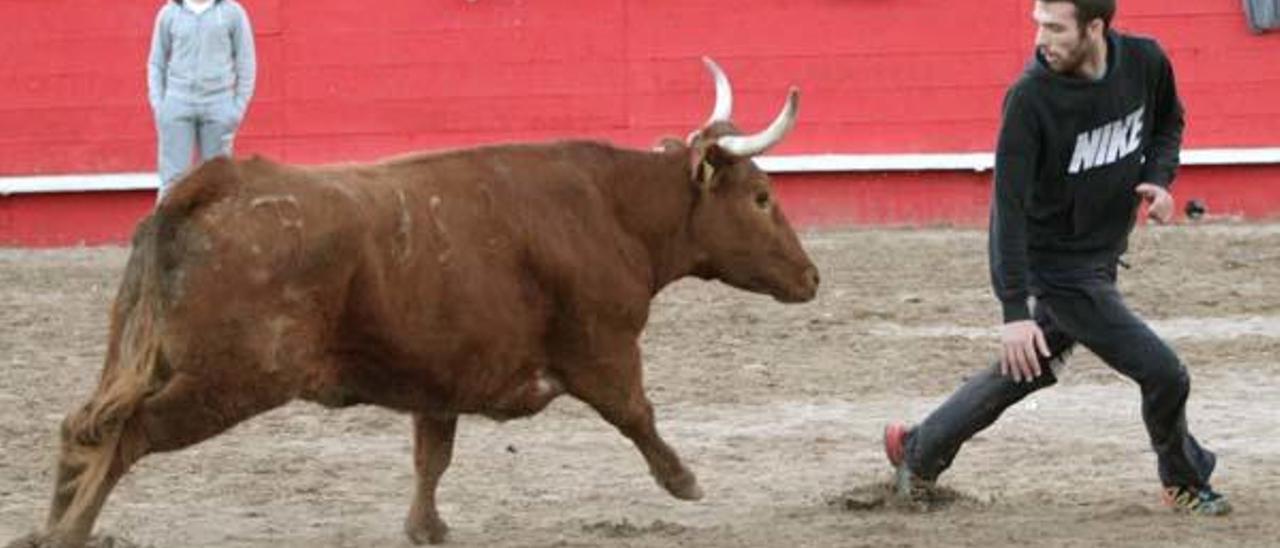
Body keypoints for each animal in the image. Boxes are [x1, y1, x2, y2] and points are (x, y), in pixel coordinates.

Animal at [17, 58, 819, 548]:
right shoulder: (603, 347)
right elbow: (637, 415)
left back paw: (46, 529)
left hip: (148, 358)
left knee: (80, 429)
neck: (612, 209)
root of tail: (209, 185)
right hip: (230, 380)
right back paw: (70, 533)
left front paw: (426, 528)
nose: (812, 278)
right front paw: (685, 482)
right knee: (124, 435)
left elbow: (433, 454)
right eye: (761, 196)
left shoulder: (443, 373)